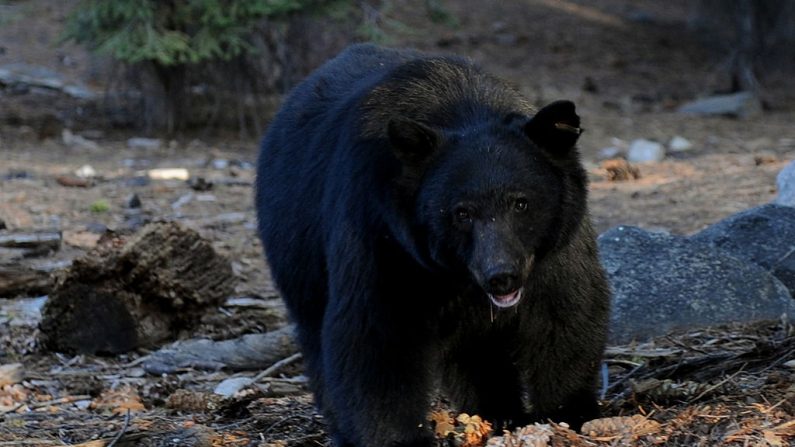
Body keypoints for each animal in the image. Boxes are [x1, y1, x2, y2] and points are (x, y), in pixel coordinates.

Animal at [255, 44, 608, 447]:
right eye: (461, 212)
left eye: (521, 203)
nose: (501, 276)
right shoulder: (383, 235)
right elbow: (378, 332)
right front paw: (398, 438)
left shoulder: (555, 249)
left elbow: (565, 313)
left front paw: (570, 413)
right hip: (298, 251)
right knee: (317, 335)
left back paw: (496, 412)